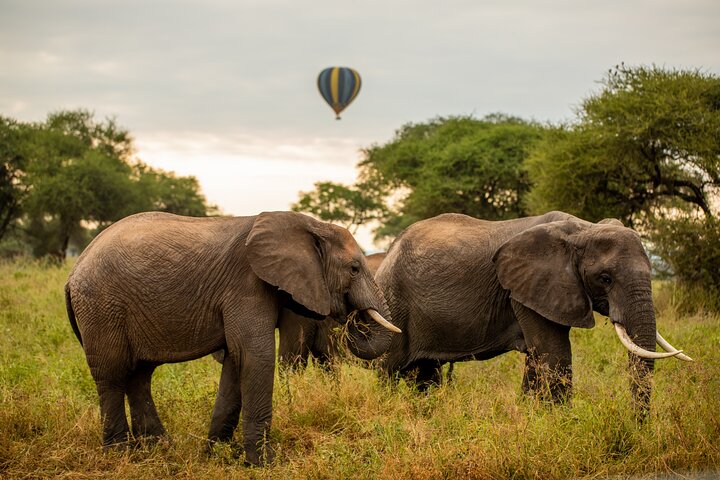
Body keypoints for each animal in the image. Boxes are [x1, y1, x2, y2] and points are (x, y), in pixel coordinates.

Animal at [64, 211, 400, 464]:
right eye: (354, 269)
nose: (353, 318)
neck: (308, 225)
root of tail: (74, 270)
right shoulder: (247, 286)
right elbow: (255, 356)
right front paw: (264, 463)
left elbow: (236, 362)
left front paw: (219, 454)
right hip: (101, 307)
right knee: (112, 375)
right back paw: (121, 454)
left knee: (139, 375)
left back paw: (160, 448)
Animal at [368, 211, 688, 408]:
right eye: (605, 279)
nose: (639, 426)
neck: (582, 229)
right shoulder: (525, 288)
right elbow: (555, 354)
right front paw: (561, 423)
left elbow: (538, 357)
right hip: (393, 305)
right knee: (389, 370)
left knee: (425, 372)